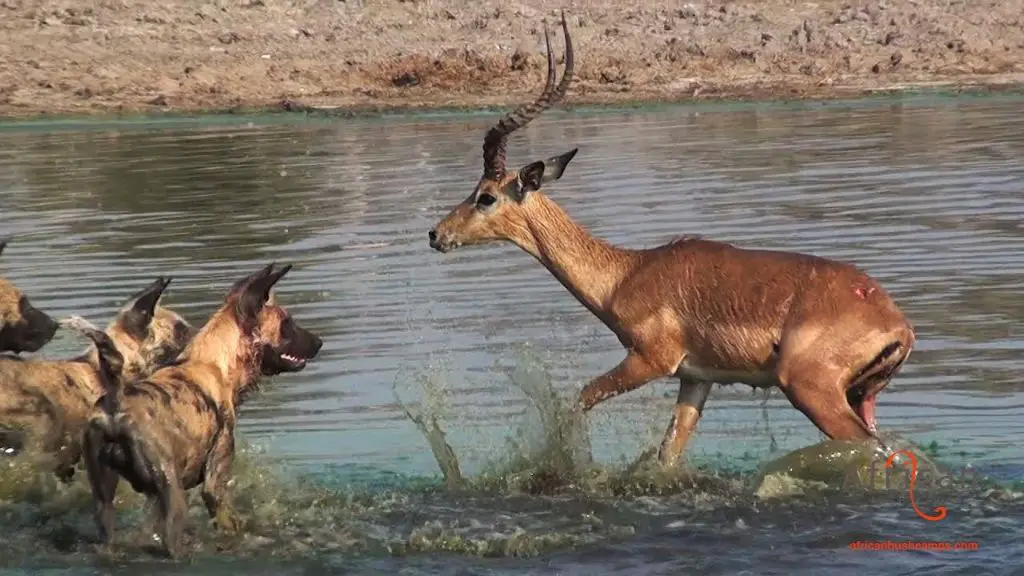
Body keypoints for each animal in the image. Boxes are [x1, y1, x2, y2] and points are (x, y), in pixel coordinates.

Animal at [84, 264, 323, 557]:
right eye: (287, 323)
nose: (319, 341)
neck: (214, 363)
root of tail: (117, 403)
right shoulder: (214, 486)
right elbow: (230, 523)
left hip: (104, 506)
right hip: (175, 501)